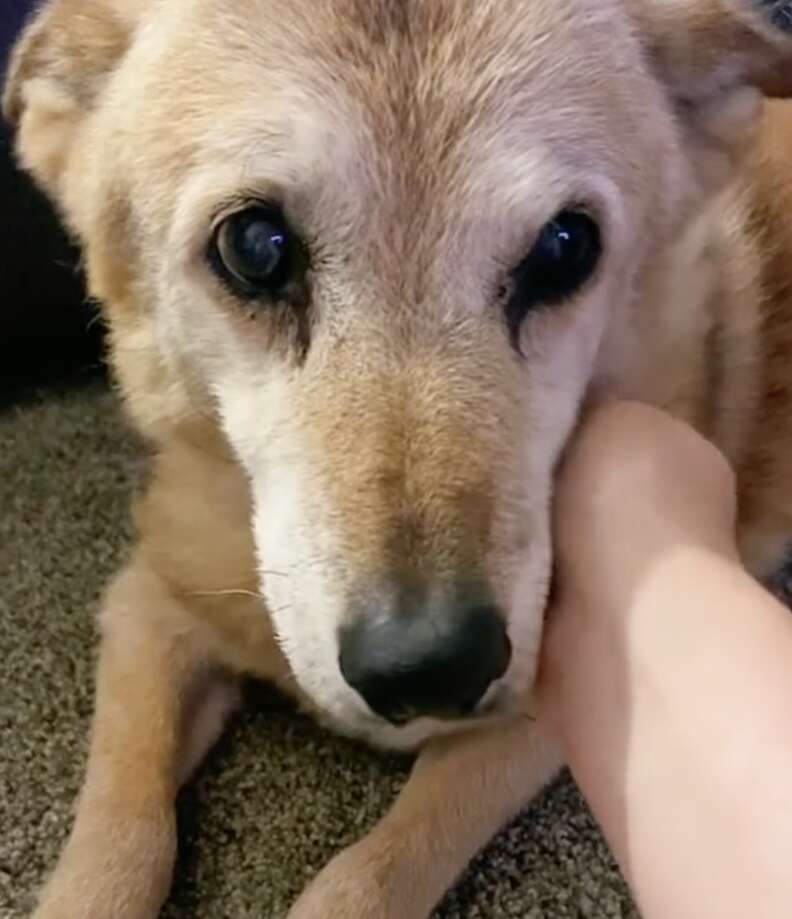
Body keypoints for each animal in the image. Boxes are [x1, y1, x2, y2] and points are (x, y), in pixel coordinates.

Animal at [4, 0, 792, 916]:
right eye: (255, 245)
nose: (432, 667)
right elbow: (121, 836)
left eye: (565, 248)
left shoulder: (543, 712)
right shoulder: (147, 606)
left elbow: (371, 874)